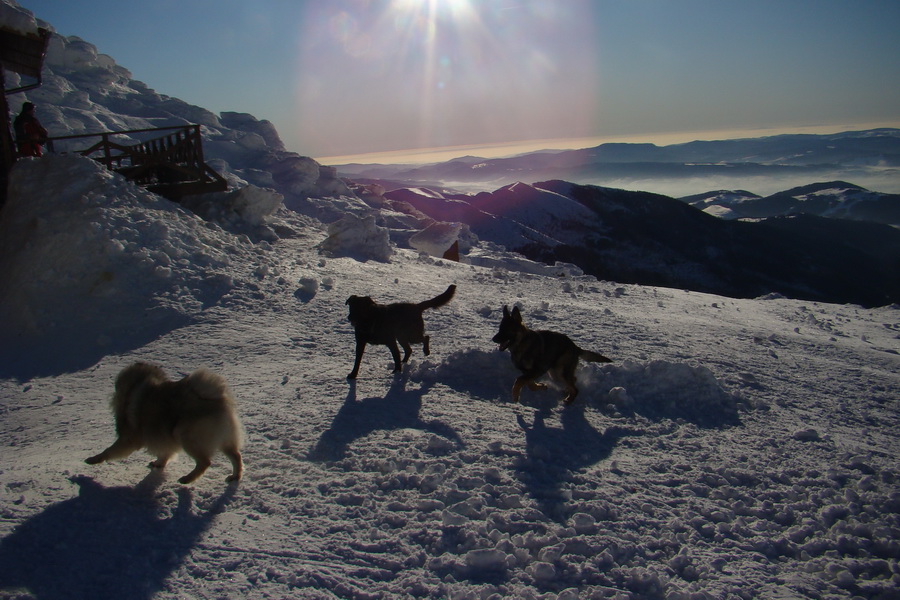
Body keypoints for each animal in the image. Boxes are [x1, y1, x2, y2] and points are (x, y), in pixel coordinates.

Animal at [86, 360, 244, 482]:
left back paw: (187, 479)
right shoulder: (164, 438)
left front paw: (93, 459)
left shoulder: (128, 438)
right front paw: (158, 464)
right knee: (236, 456)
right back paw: (234, 477)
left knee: (205, 462)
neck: (134, 387)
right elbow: (165, 454)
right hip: (225, 440)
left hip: (184, 434)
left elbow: (109, 451)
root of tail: (213, 399)